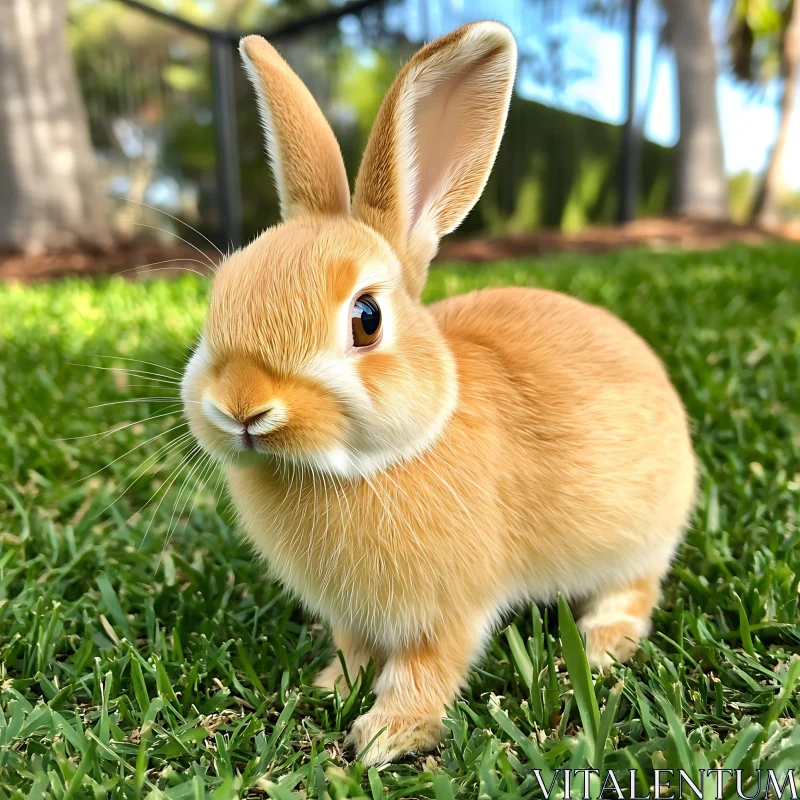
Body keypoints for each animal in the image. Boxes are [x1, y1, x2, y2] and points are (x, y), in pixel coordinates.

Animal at [181, 21, 692, 764]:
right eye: (221, 295)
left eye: (366, 318)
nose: (242, 406)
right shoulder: (356, 616)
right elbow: (356, 651)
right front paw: (333, 687)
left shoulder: (449, 611)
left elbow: (427, 670)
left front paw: (385, 734)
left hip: (637, 536)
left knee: (634, 587)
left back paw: (603, 644)